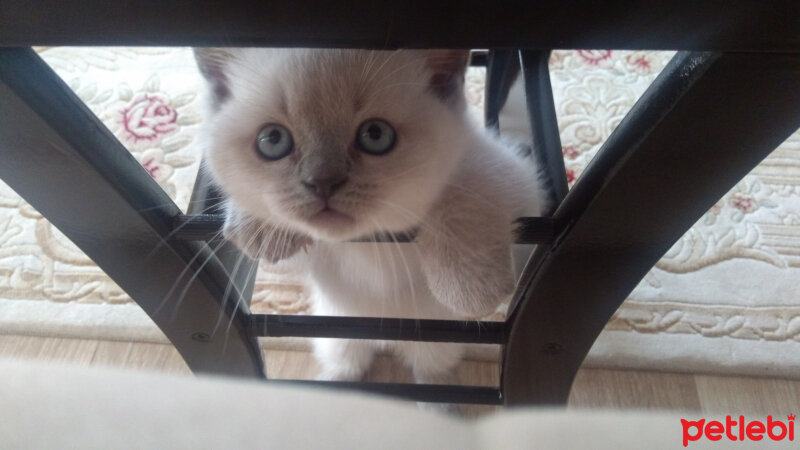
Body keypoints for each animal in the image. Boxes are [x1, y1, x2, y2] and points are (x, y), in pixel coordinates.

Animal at [195, 47, 544, 394]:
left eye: (375, 135)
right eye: (273, 140)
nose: (323, 183)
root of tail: (384, 336)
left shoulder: (515, 178)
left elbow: (464, 190)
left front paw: (472, 290)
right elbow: (259, 202)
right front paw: (257, 227)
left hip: (435, 343)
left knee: (432, 373)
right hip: (336, 336)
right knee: (348, 365)